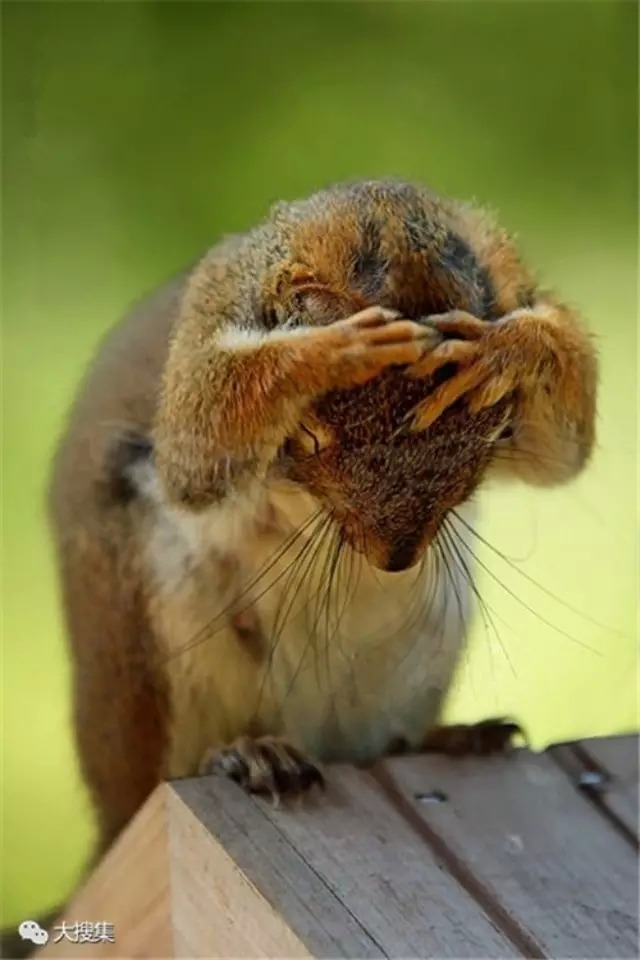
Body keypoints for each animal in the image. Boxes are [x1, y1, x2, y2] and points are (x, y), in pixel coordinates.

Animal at [43, 179, 597, 868]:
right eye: (307, 434)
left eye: (496, 430)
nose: (395, 558)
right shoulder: (213, 307)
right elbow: (197, 436)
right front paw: (330, 351)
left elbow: (563, 451)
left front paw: (507, 348)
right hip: (155, 655)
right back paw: (249, 753)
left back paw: (452, 737)